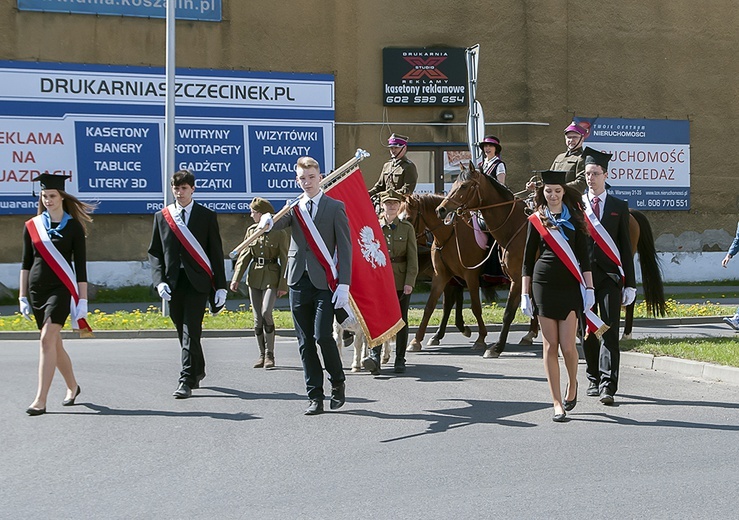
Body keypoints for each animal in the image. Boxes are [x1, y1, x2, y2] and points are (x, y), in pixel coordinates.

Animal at [440, 165, 664, 356]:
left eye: (464, 186)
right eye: (454, 183)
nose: (441, 209)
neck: (514, 226)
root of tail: (631, 213)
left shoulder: (517, 278)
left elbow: (509, 313)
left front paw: (496, 347)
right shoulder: (530, 277)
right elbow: (535, 306)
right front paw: (531, 335)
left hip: (622, 260)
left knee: (628, 296)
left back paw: (625, 334)